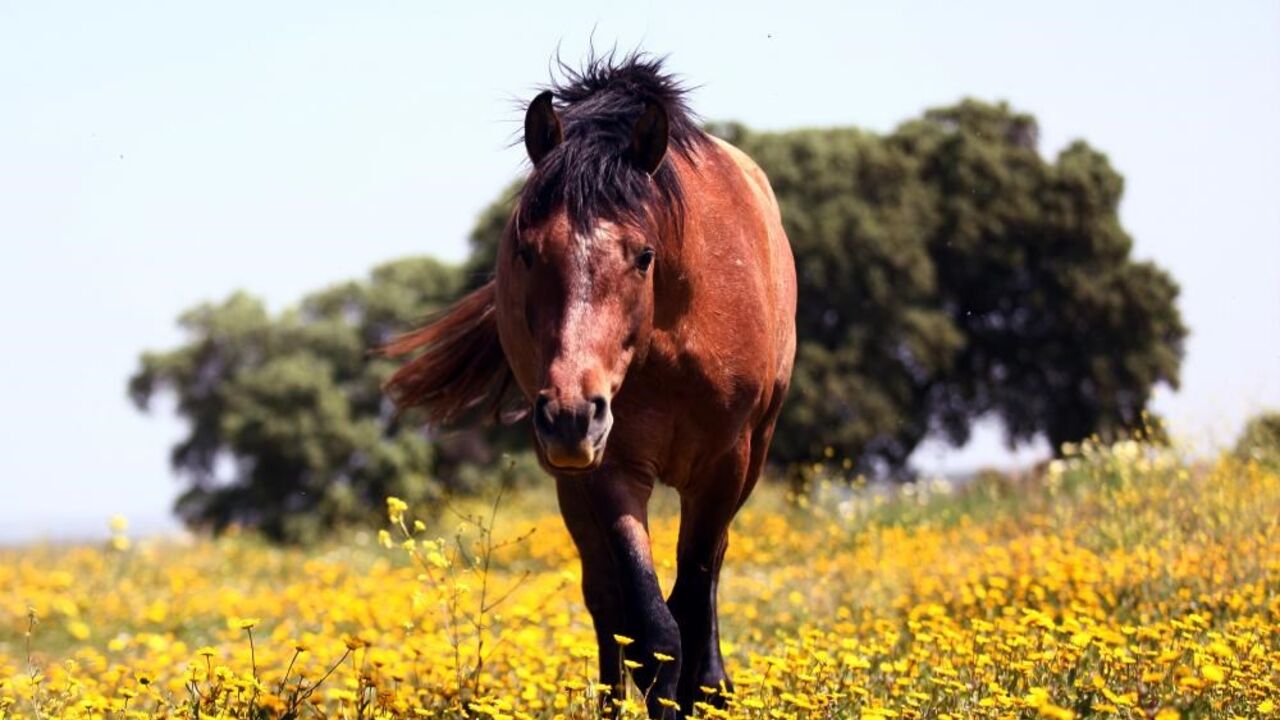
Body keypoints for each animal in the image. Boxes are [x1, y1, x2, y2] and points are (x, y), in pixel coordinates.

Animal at [384, 53, 793, 712]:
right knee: (606, 604)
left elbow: (693, 603)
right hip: (570, 482)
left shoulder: (723, 466)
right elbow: (652, 631)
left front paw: (709, 688)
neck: (672, 336)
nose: (571, 415)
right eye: (526, 253)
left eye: (643, 255)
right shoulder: (610, 467)